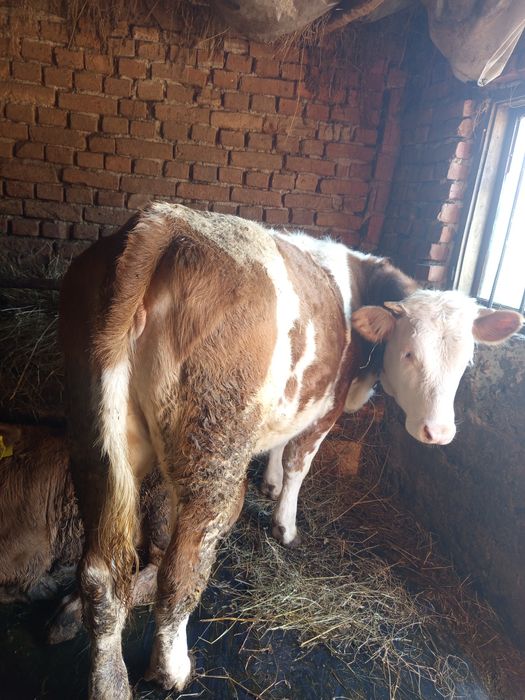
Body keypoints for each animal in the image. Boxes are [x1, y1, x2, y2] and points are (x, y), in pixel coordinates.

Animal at [59, 202, 522, 699]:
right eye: (409, 353)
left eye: (466, 361)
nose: (438, 431)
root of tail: (165, 222)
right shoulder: (325, 407)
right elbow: (300, 462)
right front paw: (285, 522)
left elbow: (274, 447)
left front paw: (270, 482)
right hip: (214, 451)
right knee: (181, 569)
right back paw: (172, 668)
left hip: (95, 438)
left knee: (103, 573)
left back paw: (105, 671)